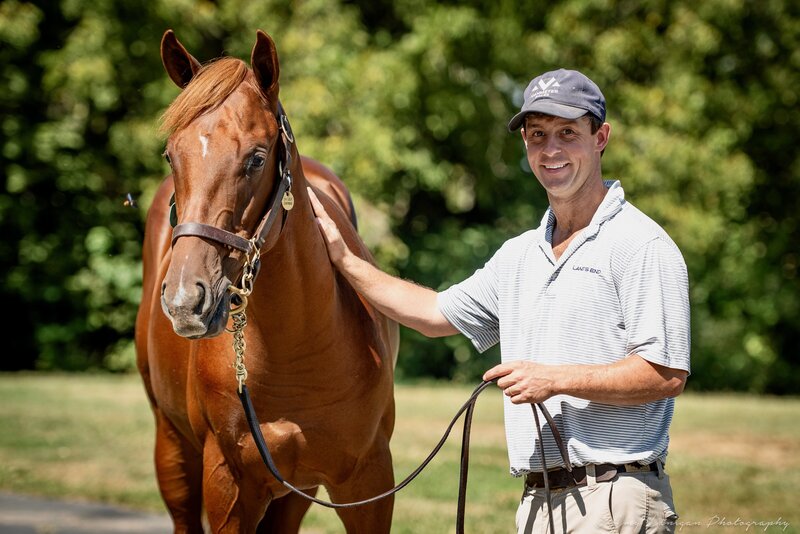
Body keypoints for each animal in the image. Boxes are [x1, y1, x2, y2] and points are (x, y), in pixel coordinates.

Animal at [135, 29, 399, 533]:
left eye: (257, 159)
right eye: (170, 155)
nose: (184, 300)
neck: (296, 348)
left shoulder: (369, 484)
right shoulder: (228, 483)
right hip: (170, 444)